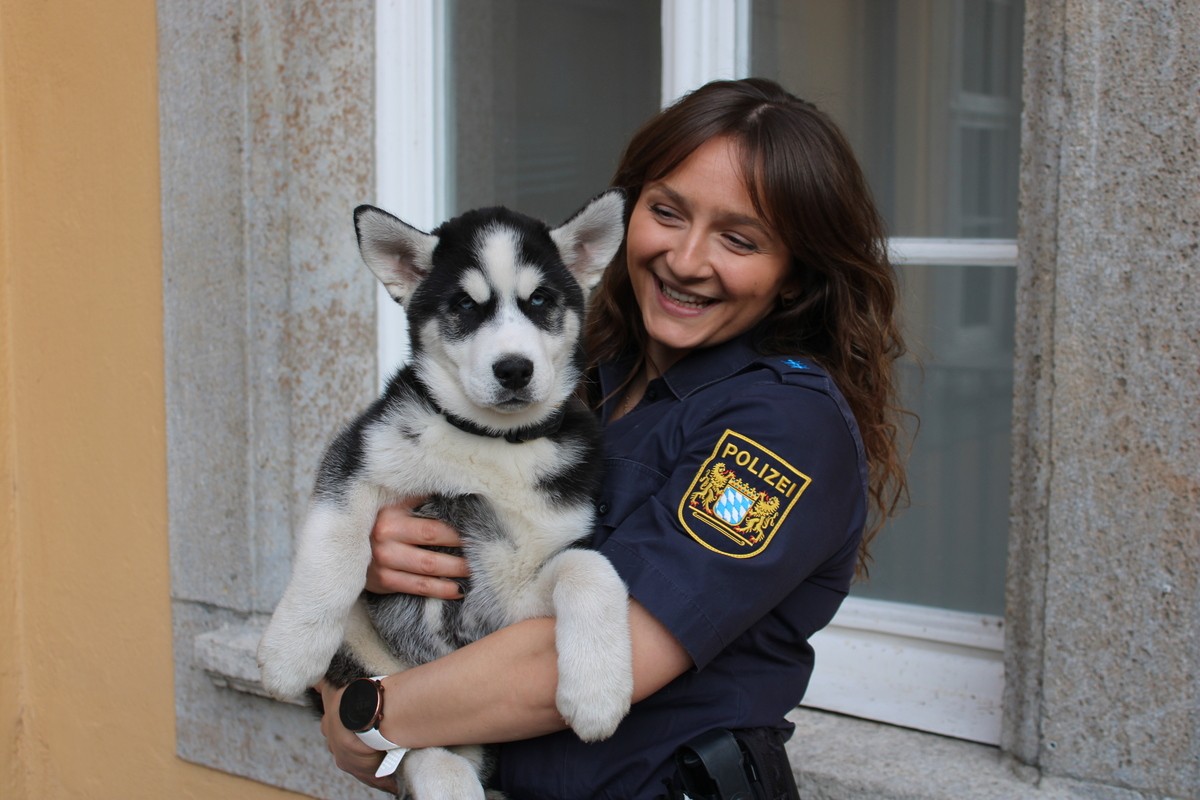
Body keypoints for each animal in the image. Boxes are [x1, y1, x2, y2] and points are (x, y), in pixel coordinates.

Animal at [258, 190, 633, 796]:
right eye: (463, 305)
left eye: (540, 300)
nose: (514, 369)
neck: (491, 442)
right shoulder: (358, 455)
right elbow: (337, 549)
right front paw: (290, 650)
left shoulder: (508, 601)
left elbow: (588, 566)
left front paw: (597, 693)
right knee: (419, 747)